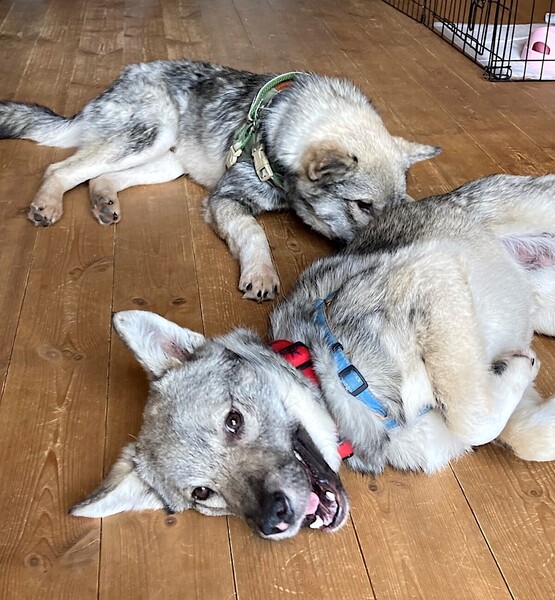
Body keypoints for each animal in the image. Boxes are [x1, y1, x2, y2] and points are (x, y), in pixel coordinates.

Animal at [0, 60, 440, 301]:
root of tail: (113, 85)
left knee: (102, 176)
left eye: (402, 206)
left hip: (168, 159)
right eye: (362, 206)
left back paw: (104, 200)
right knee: (62, 169)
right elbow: (254, 233)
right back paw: (47, 204)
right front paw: (261, 273)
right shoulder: (225, 199)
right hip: (150, 133)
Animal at [71, 173, 555, 539]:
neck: (331, 375)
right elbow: (516, 430)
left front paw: (519, 369)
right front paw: (524, 383)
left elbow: (474, 417)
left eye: (234, 421)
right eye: (202, 494)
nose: (273, 519)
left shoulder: (436, 274)